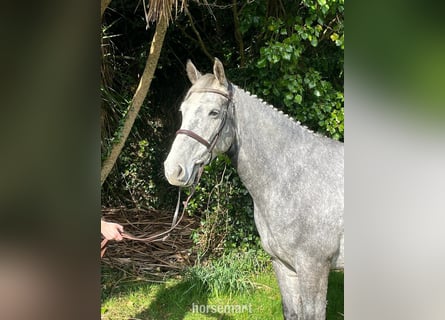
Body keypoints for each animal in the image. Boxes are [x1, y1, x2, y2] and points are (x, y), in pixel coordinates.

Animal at [164, 58, 344, 318]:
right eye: (182, 111)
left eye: (214, 112)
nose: (173, 170)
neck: (294, 177)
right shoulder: (283, 265)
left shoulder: (314, 268)